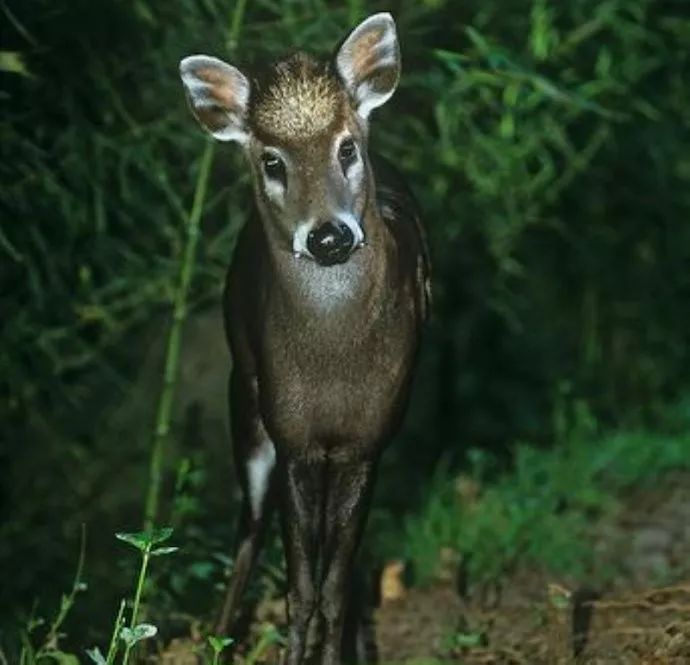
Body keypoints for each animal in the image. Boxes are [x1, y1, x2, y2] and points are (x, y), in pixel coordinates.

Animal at [180, 11, 428, 664]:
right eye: (272, 162)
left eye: (346, 147)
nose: (329, 236)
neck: (332, 366)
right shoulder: (293, 437)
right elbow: (300, 589)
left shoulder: (367, 440)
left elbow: (334, 587)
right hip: (246, 403)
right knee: (248, 529)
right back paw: (218, 637)